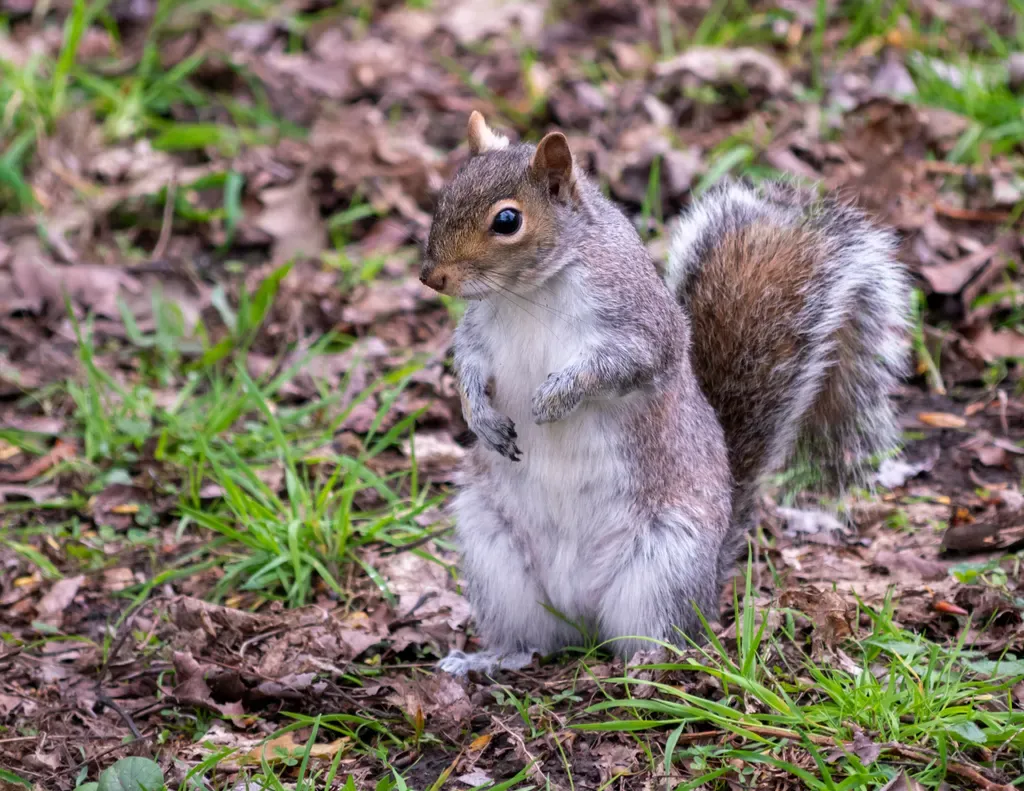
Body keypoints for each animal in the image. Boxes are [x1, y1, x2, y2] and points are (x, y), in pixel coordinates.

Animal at [419, 112, 911, 676]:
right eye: (445, 194)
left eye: (506, 221)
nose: (431, 277)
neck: (528, 294)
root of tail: (582, 618)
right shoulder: (480, 333)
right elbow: (469, 365)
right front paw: (480, 417)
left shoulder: (641, 326)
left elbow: (624, 365)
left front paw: (558, 395)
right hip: (494, 553)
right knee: (531, 641)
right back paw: (490, 659)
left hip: (665, 561)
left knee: (663, 635)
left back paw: (648, 664)